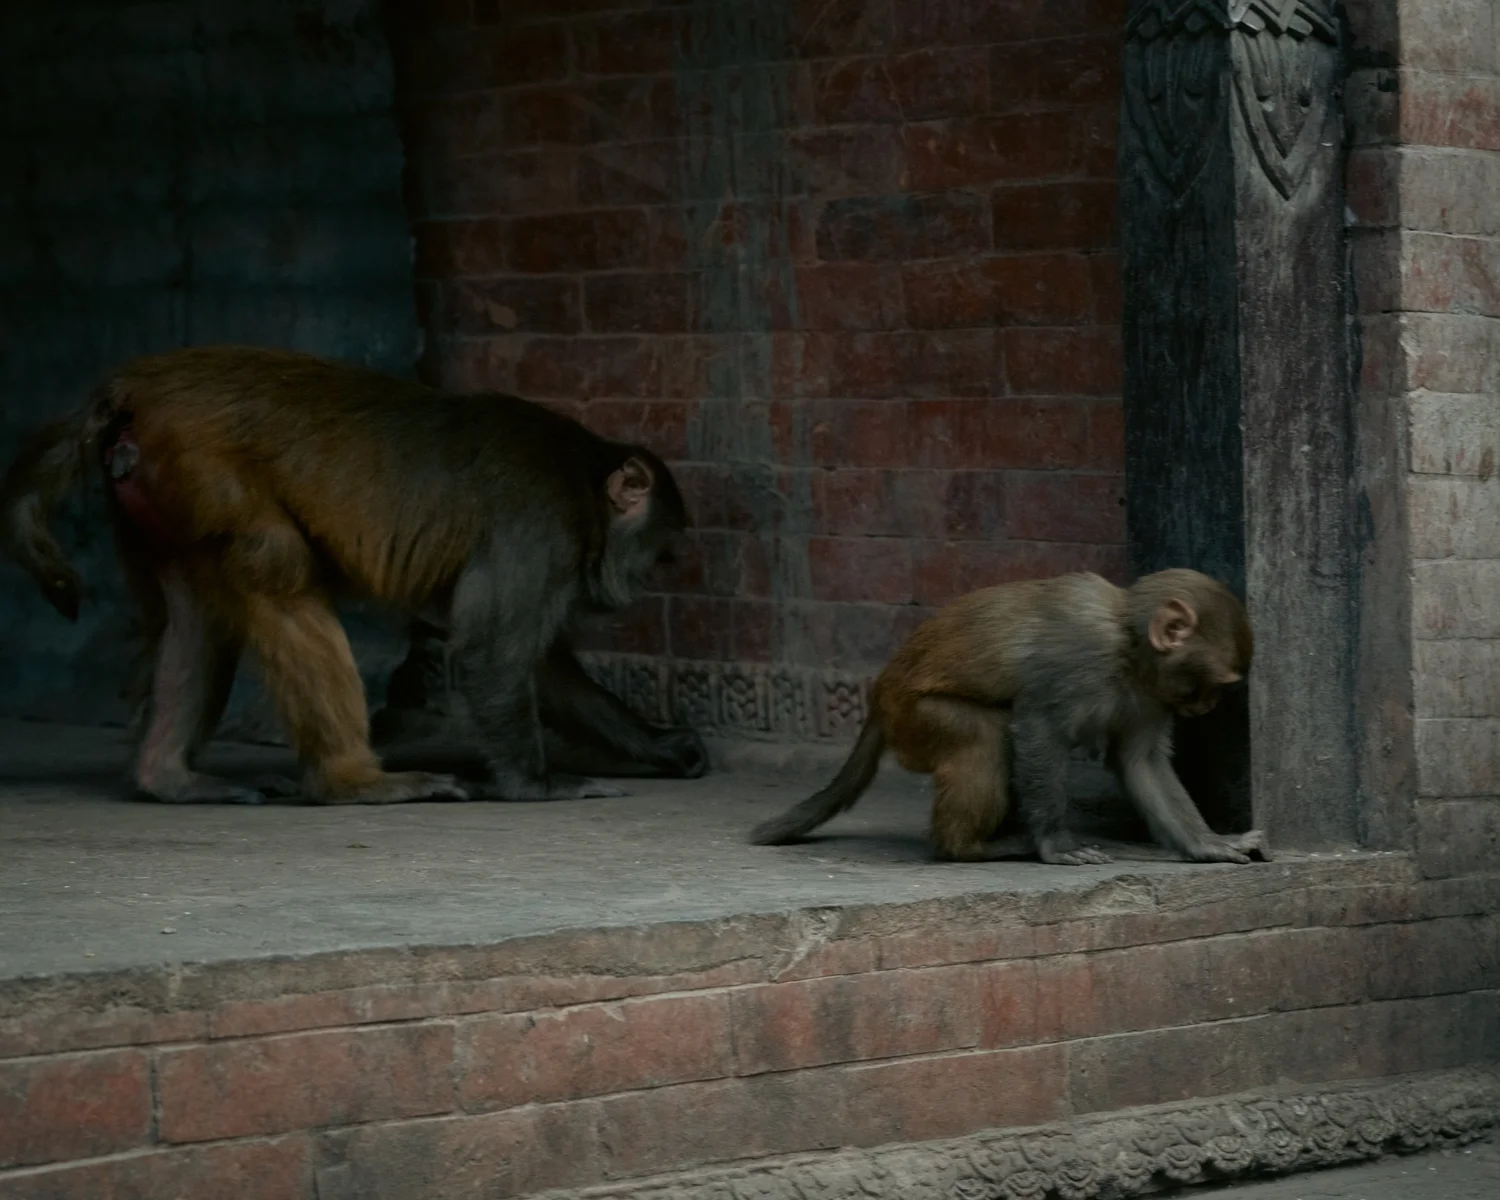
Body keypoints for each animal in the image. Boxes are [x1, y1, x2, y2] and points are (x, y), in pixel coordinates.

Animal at [0, 345, 708, 806]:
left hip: (158, 489)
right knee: (279, 569)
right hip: (199, 460)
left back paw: (167, 777)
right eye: (661, 553)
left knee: (198, 616)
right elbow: (490, 651)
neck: (581, 481)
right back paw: (351, 782)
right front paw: (534, 785)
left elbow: (535, 661)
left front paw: (658, 746)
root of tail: (137, 387)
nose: (641, 585)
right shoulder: (541, 526)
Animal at [749, 569, 1268, 866]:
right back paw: (967, 848)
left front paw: (1205, 843)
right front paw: (1055, 844)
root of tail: (879, 696)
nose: (1209, 706)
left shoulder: (1151, 697)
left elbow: (1140, 761)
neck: (1127, 648)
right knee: (985, 735)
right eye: (1218, 684)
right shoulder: (1079, 657)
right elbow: (1039, 727)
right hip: (915, 718)